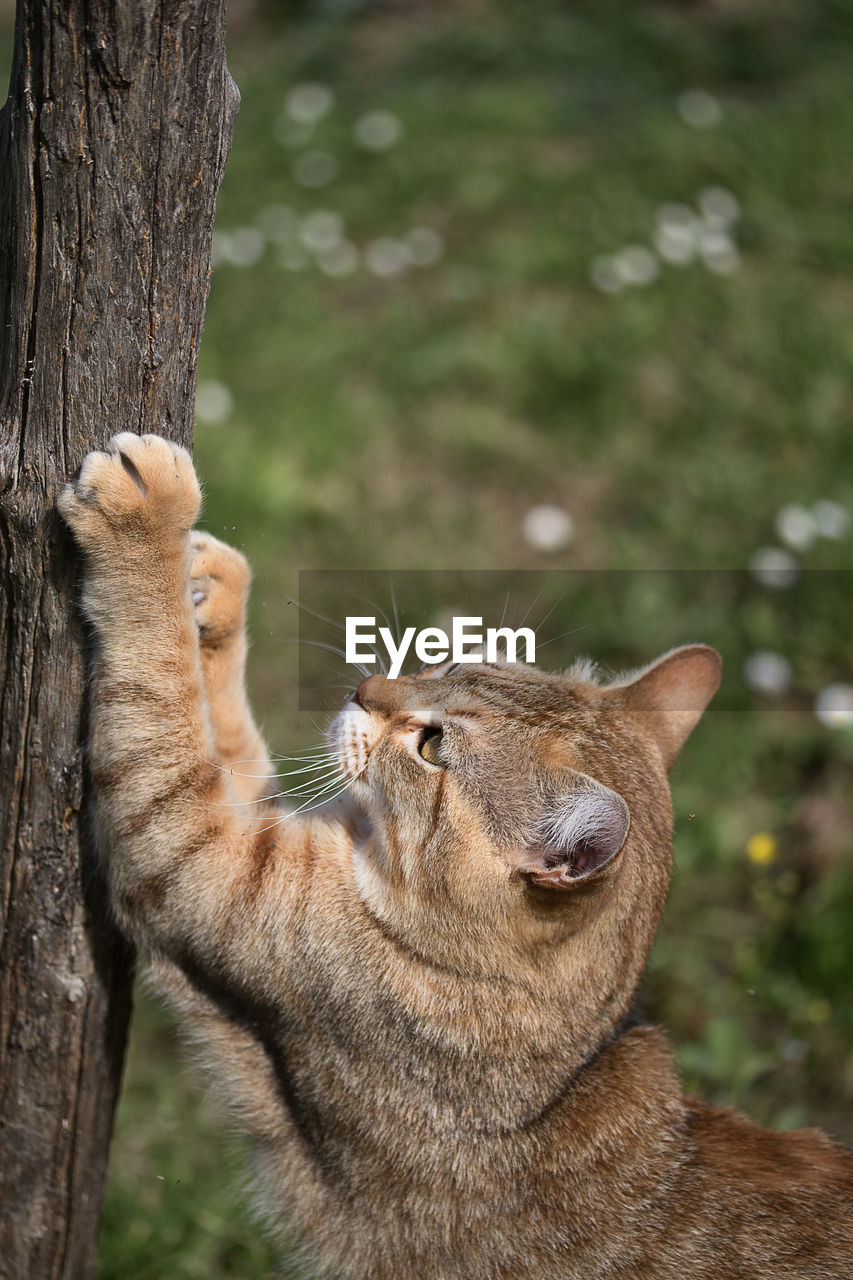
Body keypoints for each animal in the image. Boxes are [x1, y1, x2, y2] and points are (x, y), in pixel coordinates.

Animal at [59, 430, 850, 1280]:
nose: (366, 686)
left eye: (433, 745)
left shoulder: (193, 847)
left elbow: (159, 682)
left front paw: (148, 520)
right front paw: (213, 589)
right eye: (445, 664)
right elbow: (220, 719)